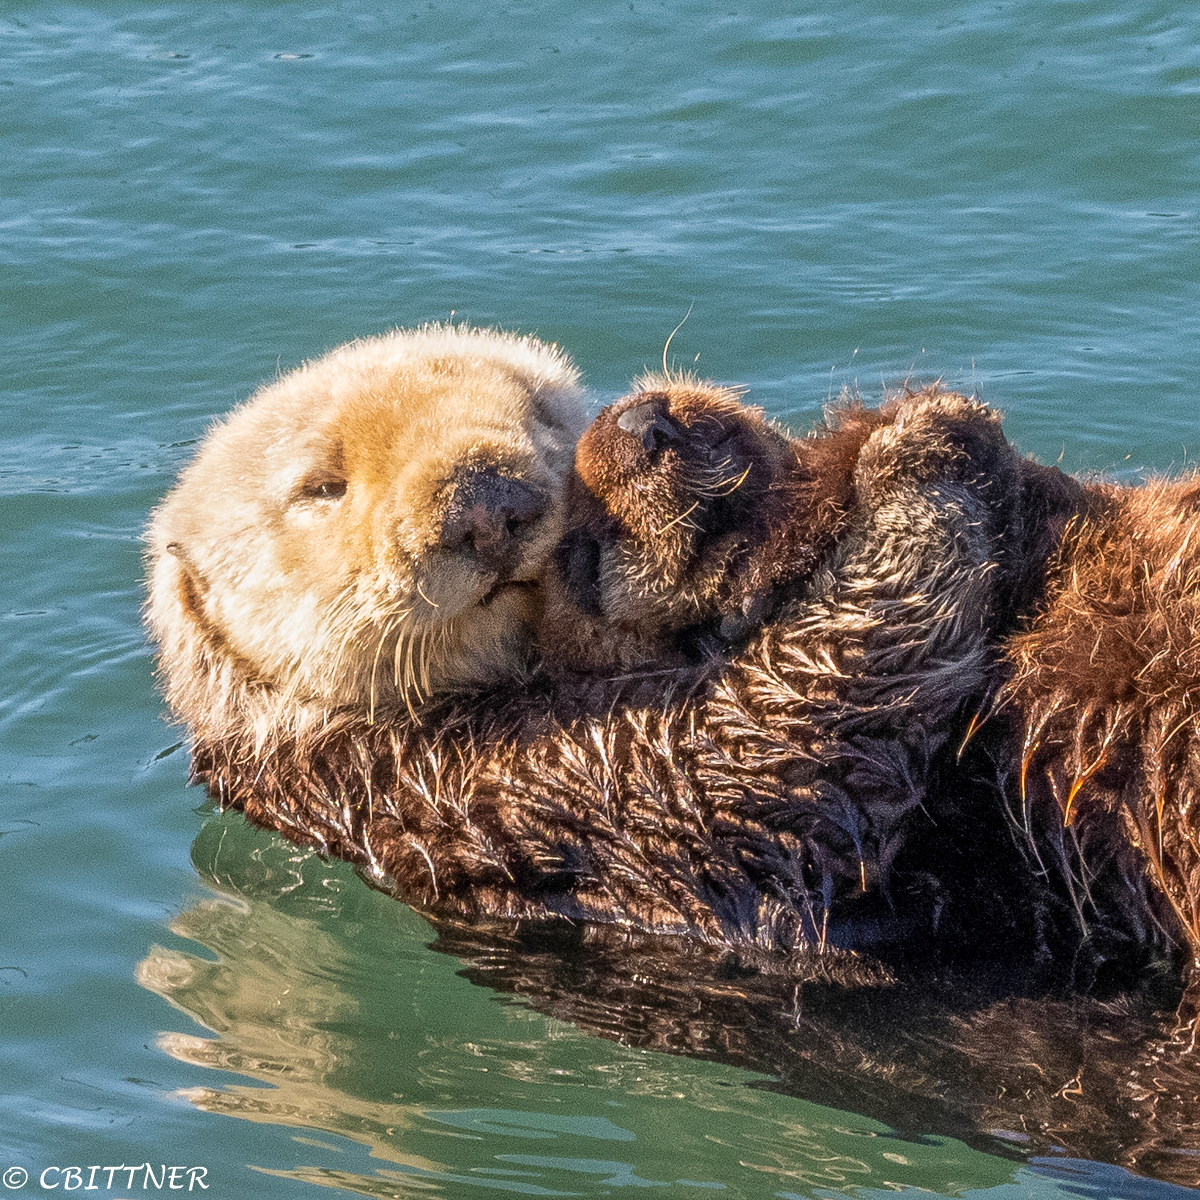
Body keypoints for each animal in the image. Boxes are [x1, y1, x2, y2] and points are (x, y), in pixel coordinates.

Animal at [171, 374, 1080, 974]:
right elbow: (789, 739)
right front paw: (925, 442)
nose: (487, 504)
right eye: (322, 489)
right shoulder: (503, 778)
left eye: (539, 415)